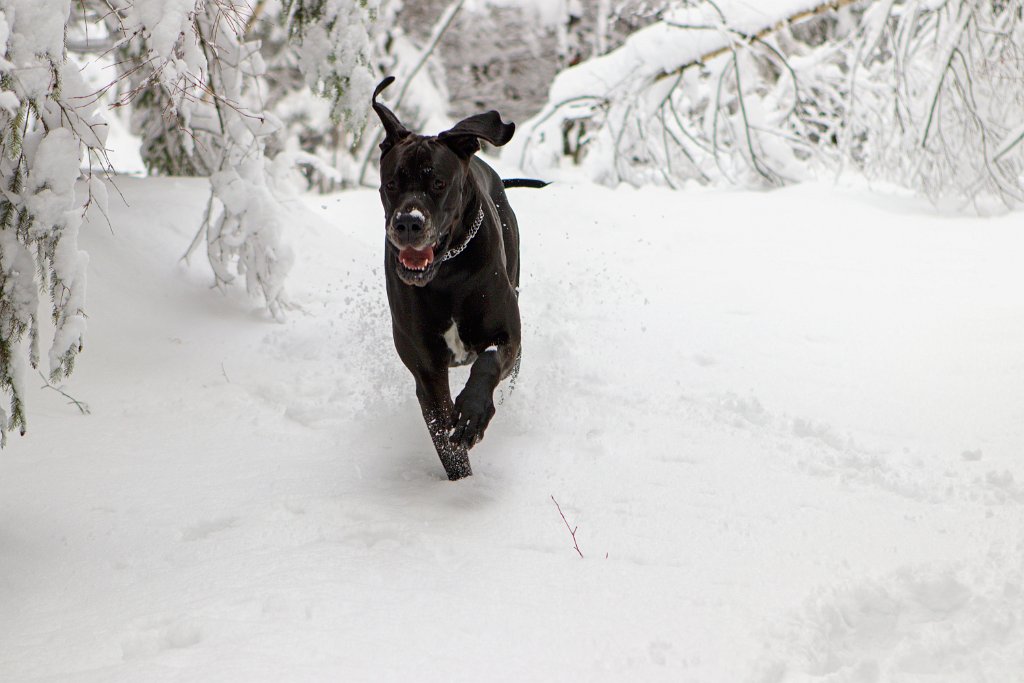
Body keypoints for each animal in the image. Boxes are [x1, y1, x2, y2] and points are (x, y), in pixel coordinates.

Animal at [372, 76, 540, 481]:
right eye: (392, 183)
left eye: (437, 183)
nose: (408, 222)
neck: (447, 273)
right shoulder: (426, 370)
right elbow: (443, 435)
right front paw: (460, 483)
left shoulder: (507, 335)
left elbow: (487, 363)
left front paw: (472, 415)